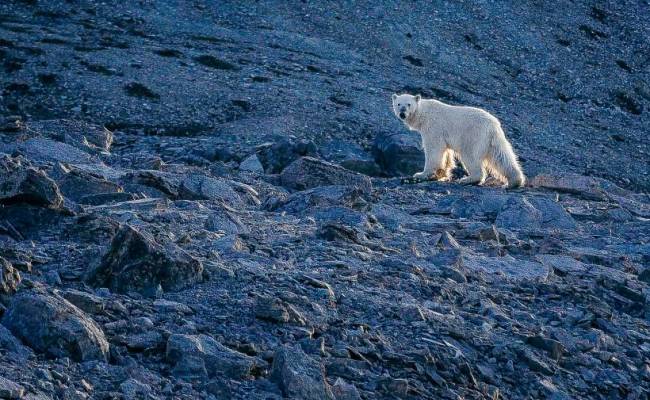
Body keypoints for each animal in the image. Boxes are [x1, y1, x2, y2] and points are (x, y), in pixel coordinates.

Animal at [390, 93, 520, 188]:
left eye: (408, 104)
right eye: (398, 104)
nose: (402, 113)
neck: (424, 115)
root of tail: (493, 125)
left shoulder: (433, 127)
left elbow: (433, 149)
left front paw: (422, 174)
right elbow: (446, 153)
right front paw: (442, 174)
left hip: (473, 135)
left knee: (470, 155)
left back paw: (468, 179)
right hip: (493, 140)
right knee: (502, 156)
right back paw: (515, 181)